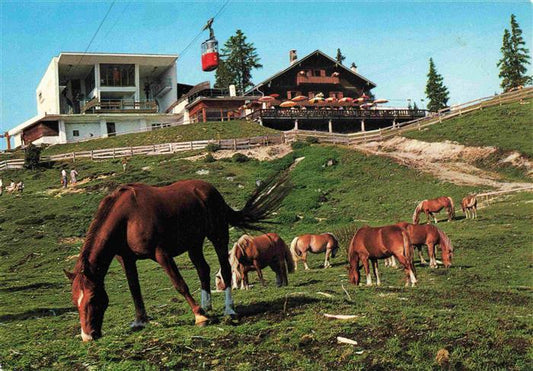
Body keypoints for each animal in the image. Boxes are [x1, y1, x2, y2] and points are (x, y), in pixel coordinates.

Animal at [65, 175, 290, 342]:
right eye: (75, 301)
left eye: (92, 298)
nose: (88, 336)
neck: (127, 217)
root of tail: (211, 191)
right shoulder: (126, 259)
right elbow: (134, 290)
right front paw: (140, 321)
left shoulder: (161, 254)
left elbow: (179, 284)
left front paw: (199, 316)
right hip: (194, 244)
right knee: (203, 269)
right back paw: (208, 305)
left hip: (218, 236)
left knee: (225, 271)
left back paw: (228, 310)